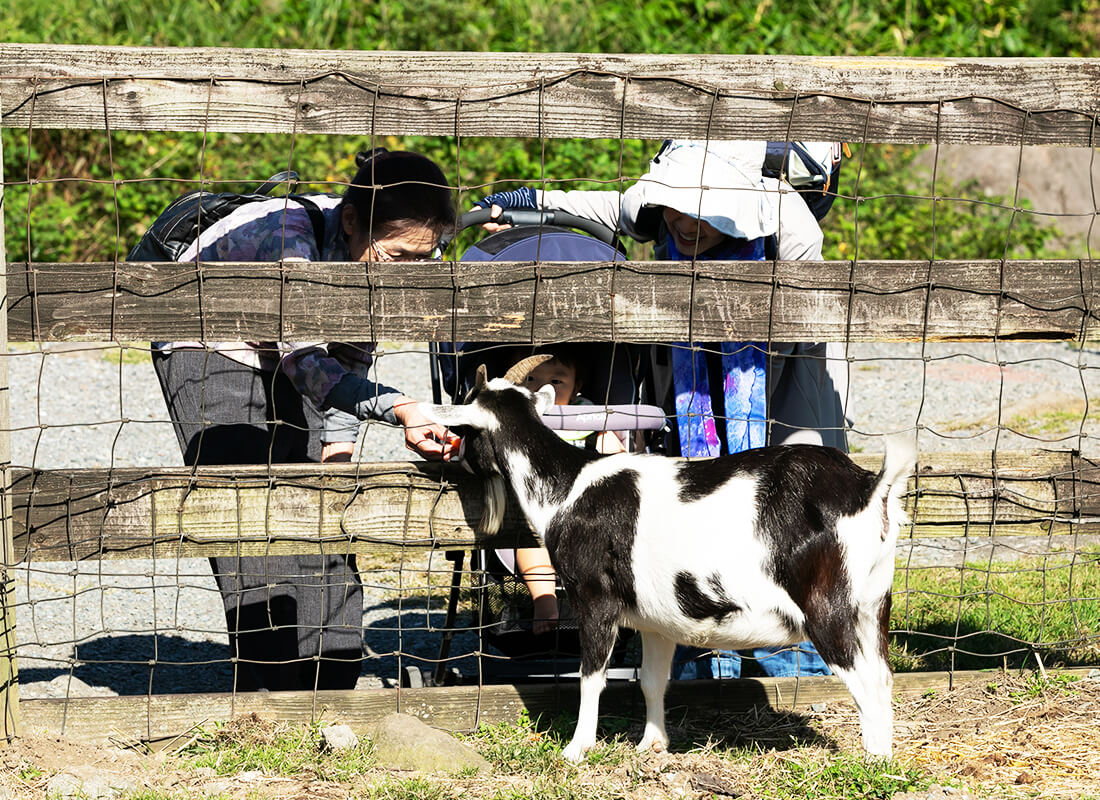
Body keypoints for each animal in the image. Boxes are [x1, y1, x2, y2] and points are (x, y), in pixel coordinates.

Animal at [420, 356, 910, 761]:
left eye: (462, 429)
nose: (445, 455)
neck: (567, 488)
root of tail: (869, 490)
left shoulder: (594, 600)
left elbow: (591, 676)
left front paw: (576, 749)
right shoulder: (655, 618)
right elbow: (652, 680)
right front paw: (652, 744)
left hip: (827, 606)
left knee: (865, 680)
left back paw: (874, 762)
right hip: (873, 603)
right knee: (884, 676)